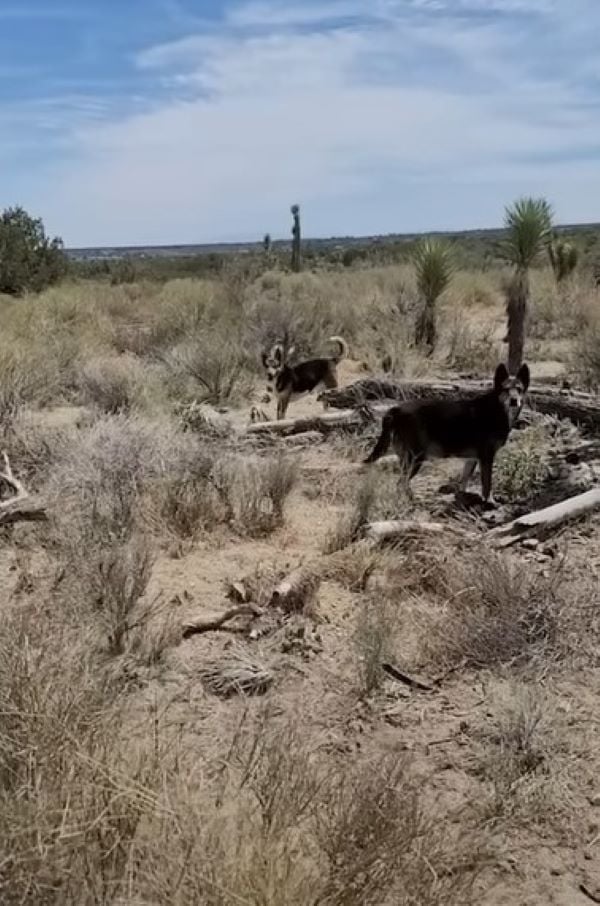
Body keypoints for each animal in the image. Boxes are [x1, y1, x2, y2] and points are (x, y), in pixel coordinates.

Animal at [364, 360, 532, 502]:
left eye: (519, 389)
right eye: (505, 389)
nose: (514, 401)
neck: (497, 408)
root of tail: (396, 409)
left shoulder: (472, 459)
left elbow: (464, 481)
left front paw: (463, 497)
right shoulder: (486, 457)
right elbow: (487, 484)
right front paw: (489, 501)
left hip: (408, 459)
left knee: (402, 484)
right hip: (415, 458)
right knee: (401, 483)